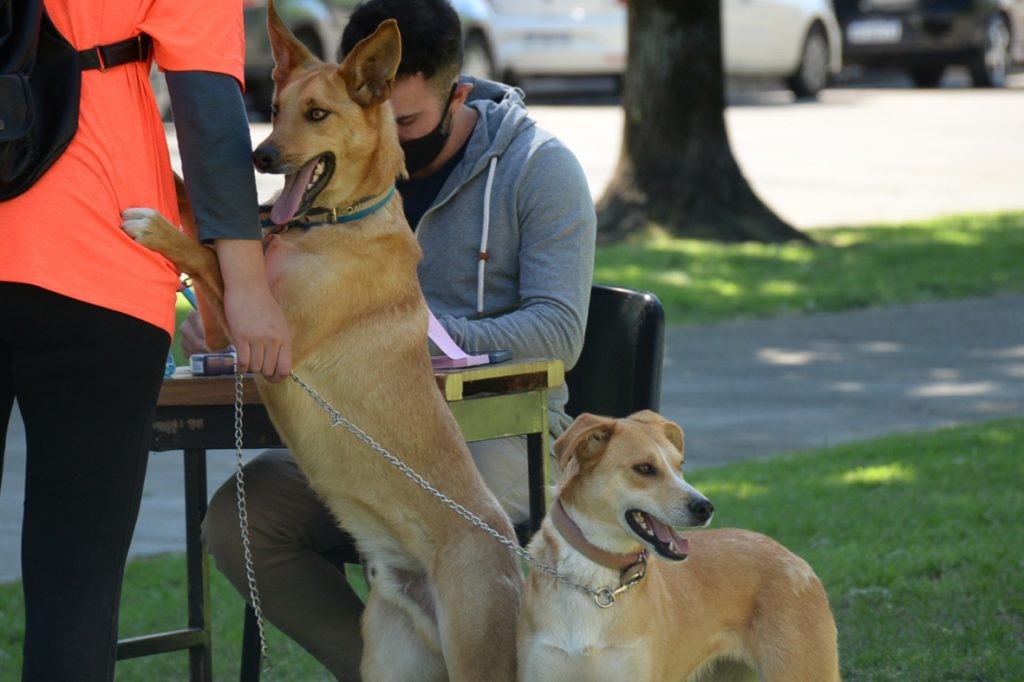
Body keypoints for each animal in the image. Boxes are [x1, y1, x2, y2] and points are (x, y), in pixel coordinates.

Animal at [120, 6, 520, 679]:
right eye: (275, 107)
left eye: (316, 115)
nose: (259, 155)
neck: (336, 225)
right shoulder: (229, 332)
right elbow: (201, 219)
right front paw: (172, 178)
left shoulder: (265, 339)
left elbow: (202, 252)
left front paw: (154, 228)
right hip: (390, 658)